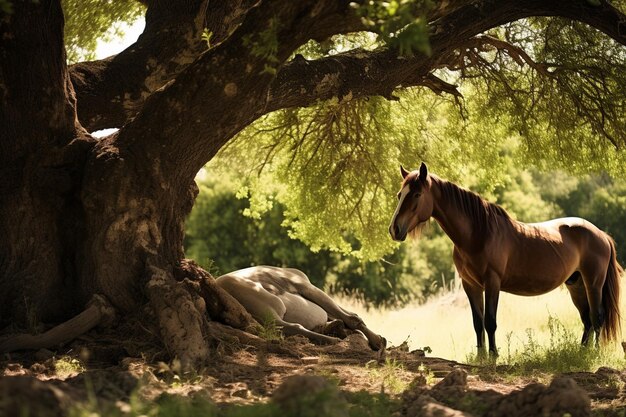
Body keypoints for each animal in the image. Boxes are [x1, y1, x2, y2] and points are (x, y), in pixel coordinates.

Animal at [218, 264, 386, 350]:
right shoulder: (306, 287)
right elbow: (352, 318)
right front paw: (378, 341)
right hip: (271, 304)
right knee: (287, 327)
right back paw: (333, 339)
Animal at [388, 162, 616, 354]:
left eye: (417, 194)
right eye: (400, 194)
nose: (394, 229)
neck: (479, 234)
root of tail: (601, 234)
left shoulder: (492, 282)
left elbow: (490, 321)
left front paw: (494, 356)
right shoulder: (470, 285)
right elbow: (477, 323)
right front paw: (480, 357)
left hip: (593, 283)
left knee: (597, 317)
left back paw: (595, 353)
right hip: (575, 283)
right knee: (586, 319)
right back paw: (582, 351)